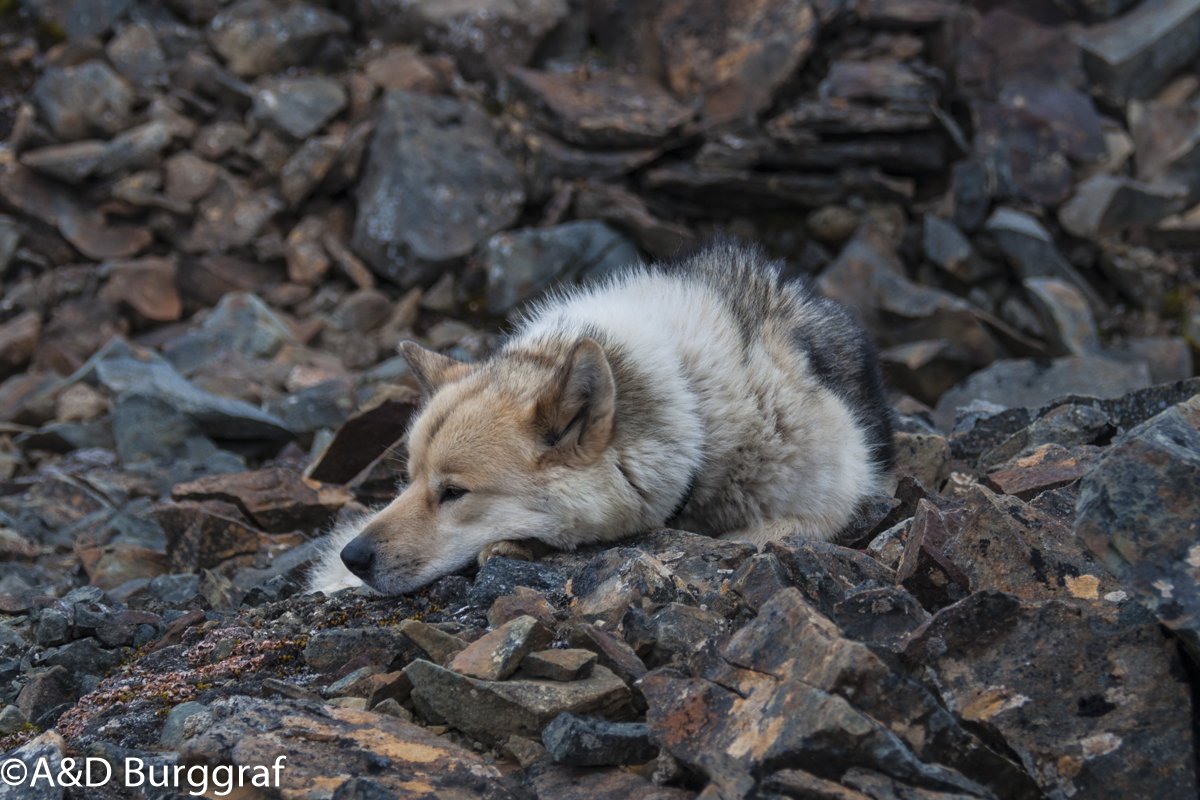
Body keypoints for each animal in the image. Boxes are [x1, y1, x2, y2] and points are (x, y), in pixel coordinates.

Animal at [304, 241, 897, 597]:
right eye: (406, 482)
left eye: (453, 492)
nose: (353, 557)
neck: (690, 406)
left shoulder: (827, 499)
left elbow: (760, 536)